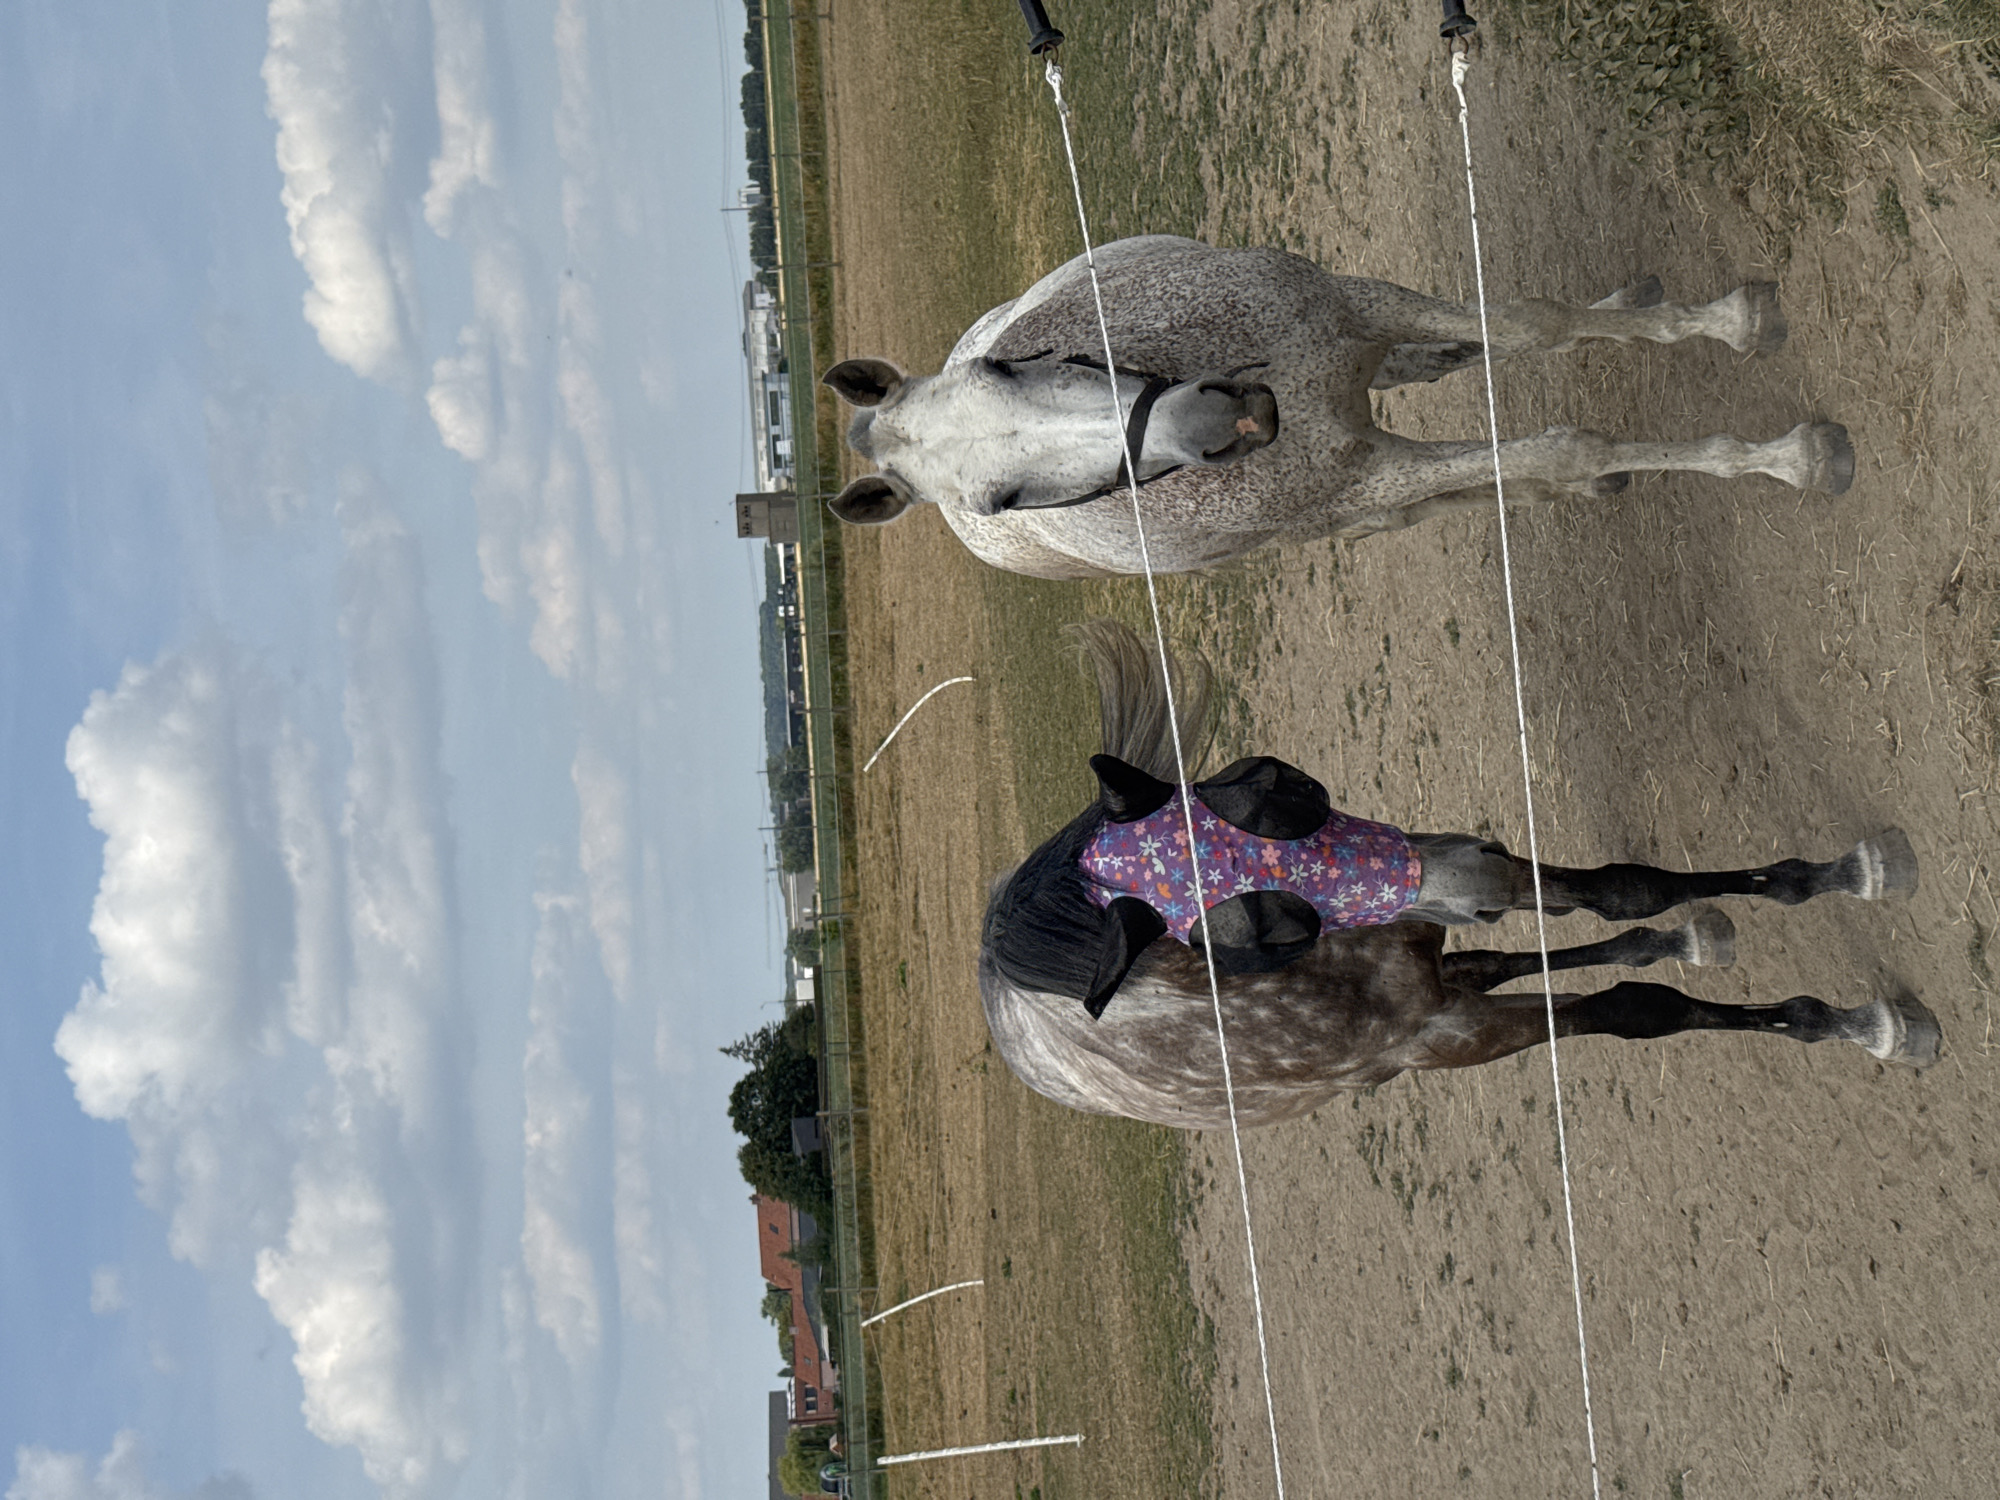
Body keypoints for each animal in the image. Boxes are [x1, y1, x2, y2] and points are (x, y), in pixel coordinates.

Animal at [822, 236, 1855, 579]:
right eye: (1001, 501)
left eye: (1004, 367)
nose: (1217, 421)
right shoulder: (1362, 476)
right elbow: (1558, 449)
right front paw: (1791, 457)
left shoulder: (1356, 306)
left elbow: (1530, 322)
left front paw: (1734, 320)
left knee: (1444, 364)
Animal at [979, 622, 1941, 1129]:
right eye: (1247, 929)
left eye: (1273, 786)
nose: (1466, 879)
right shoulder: (1447, 1037)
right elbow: (1637, 1010)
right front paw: (1863, 1025)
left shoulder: (1440, 884)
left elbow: (1622, 887)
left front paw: (1839, 877)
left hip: (1436, 931)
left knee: (1515, 953)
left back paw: (1679, 935)